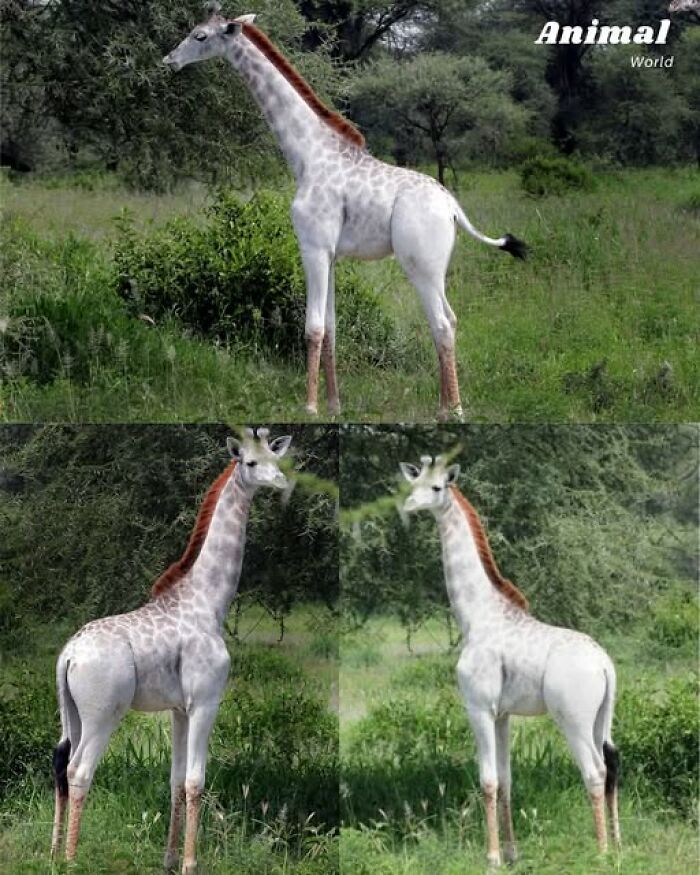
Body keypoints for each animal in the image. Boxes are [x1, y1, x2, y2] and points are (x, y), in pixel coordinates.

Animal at [50, 427, 293, 874]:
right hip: (103, 713)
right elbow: (196, 781)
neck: (209, 601)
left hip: (70, 711)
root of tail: (69, 654)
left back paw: (54, 852)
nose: (281, 482)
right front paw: (190, 864)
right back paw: (72, 860)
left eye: (276, 456)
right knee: (80, 770)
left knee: (60, 762)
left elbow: (176, 780)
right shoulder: (205, 701)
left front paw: (168, 860)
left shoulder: (179, 708)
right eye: (250, 462)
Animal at [163, 12, 527, 421]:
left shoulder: (313, 247)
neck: (307, 155)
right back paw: (444, 407)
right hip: (436, 268)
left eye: (199, 36)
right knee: (449, 320)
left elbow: (313, 327)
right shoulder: (333, 255)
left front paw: (309, 407)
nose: (169, 60)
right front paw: (335, 406)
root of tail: (452, 207)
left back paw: (454, 412)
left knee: (442, 324)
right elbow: (333, 328)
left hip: (421, 265)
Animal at [398, 455, 621, 866]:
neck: (477, 616)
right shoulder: (503, 714)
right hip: (602, 717)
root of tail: (604, 665)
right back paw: (617, 846)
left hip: (573, 719)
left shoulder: (479, 707)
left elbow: (487, 780)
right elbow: (506, 780)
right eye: (413, 482)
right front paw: (513, 852)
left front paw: (492, 858)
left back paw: (599, 853)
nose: (409, 505)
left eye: (437, 487)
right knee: (611, 765)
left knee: (594, 772)